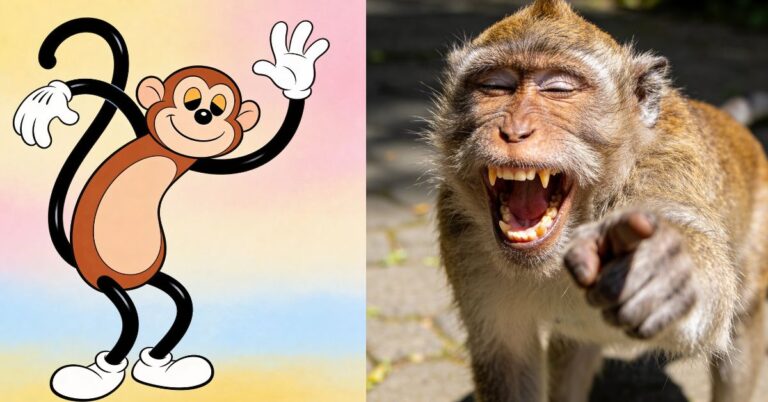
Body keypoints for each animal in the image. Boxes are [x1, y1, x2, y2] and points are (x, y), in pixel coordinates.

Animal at [12, 18, 328, 401]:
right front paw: (49, 100)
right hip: (106, 280)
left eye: (219, 106)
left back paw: (160, 366)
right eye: (191, 100)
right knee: (129, 317)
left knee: (180, 303)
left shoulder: (203, 162)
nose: (204, 115)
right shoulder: (142, 124)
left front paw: (293, 73)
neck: (168, 150)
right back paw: (98, 375)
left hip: (155, 276)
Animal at [426, 1, 768, 401]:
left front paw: (664, 269)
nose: (514, 130)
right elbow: (506, 359)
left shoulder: (666, 173)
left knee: (743, 326)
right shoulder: (460, 234)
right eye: (495, 86)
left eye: (558, 89)